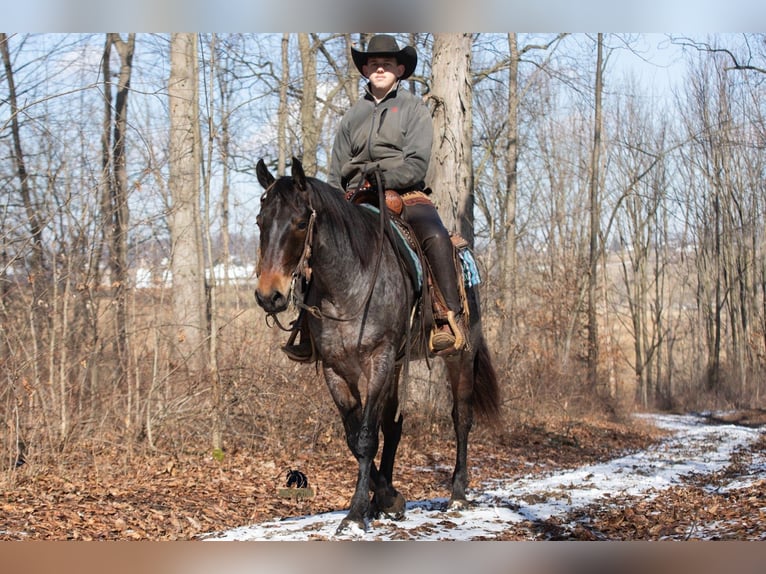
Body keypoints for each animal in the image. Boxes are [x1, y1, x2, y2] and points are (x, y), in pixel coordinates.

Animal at [254, 157, 501, 534]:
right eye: (260, 222)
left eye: (300, 223)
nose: (270, 296)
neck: (347, 287)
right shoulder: (336, 369)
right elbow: (355, 437)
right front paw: (387, 500)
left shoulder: (378, 359)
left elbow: (367, 436)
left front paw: (356, 515)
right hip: (397, 365)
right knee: (394, 426)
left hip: (460, 354)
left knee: (462, 417)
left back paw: (458, 494)